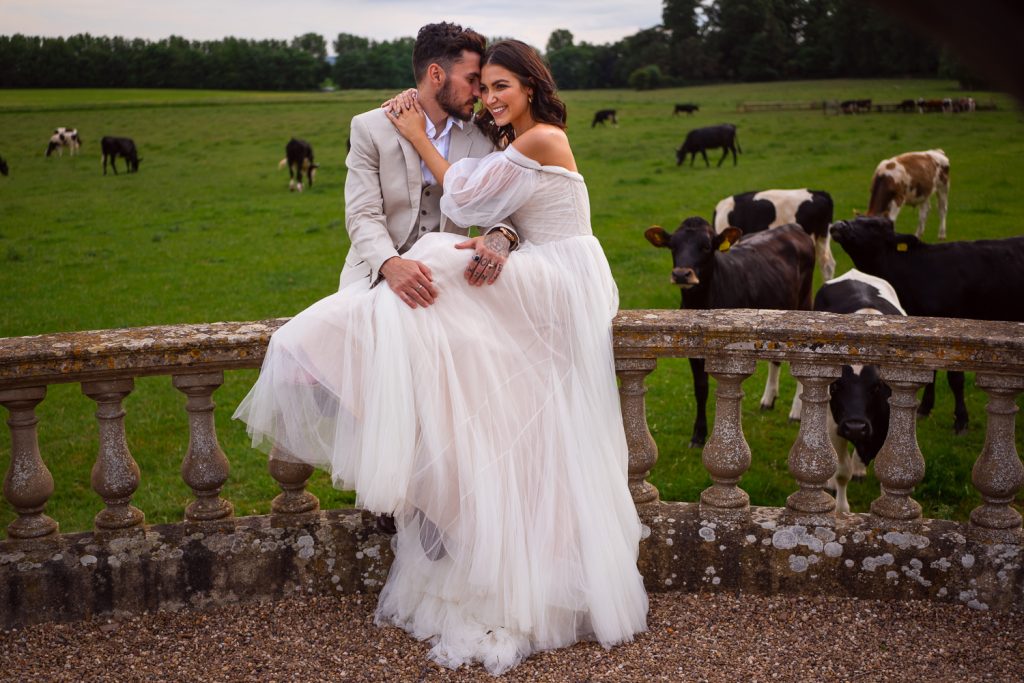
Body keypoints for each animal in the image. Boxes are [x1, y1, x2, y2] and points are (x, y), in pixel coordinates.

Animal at [638, 216, 815, 446]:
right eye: (673, 246)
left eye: (706, 246)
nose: (681, 274)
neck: (702, 303)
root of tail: (793, 227)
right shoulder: (693, 350)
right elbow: (701, 388)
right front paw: (699, 434)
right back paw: (768, 399)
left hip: (804, 303)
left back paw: (796, 412)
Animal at [811, 270, 909, 516]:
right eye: (836, 385)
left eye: (876, 387)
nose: (855, 426)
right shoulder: (835, 424)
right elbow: (840, 471)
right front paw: (841, 511)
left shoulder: (885, 426)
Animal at [827, 216, 1024, 436]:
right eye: (856, 217)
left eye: (874, 225)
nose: (840, 225)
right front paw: (925, 408)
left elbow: (955, 379)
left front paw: (961, 420)